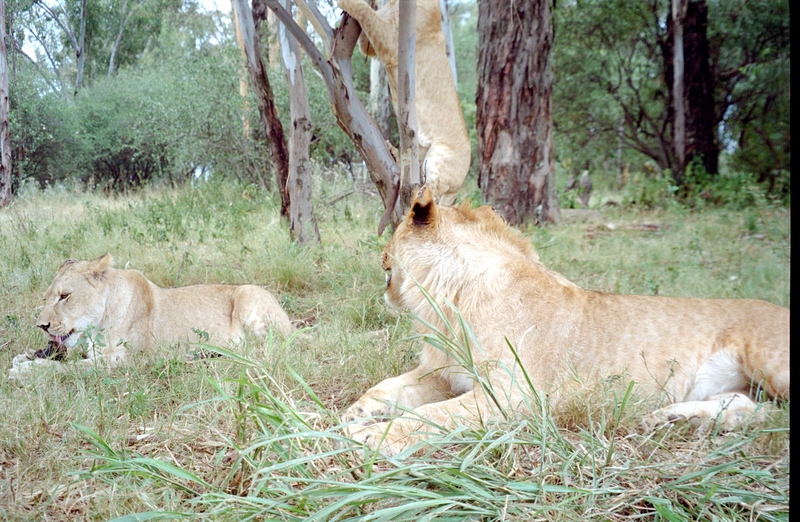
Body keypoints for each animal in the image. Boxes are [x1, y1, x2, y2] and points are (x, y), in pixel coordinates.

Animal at [7, 253, 296, 380]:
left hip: (247, 294)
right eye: (46, 297)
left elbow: (71, 368)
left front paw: (25, 371)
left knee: (267, 350)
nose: (41, 326)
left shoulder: (123, 361)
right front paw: (26, 356)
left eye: (64, 296)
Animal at [336, 0, 468, 204]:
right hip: (418, 153)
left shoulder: (392, 40)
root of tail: (460, 185)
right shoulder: (373, 43)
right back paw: (394, 153)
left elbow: (364, 11)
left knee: (429, 195)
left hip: (439, 158)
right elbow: (368, 22)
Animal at [344, 188, 788, 456]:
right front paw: (357, 412)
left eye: (394, 234)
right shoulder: (444, 373)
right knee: (747, 405)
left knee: (776, 417)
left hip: (769, 361)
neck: (449, 303)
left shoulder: (512, 395)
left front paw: (372, 435)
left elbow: (430, 415)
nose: (380, 255)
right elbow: (389, 387)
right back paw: (671, 419)